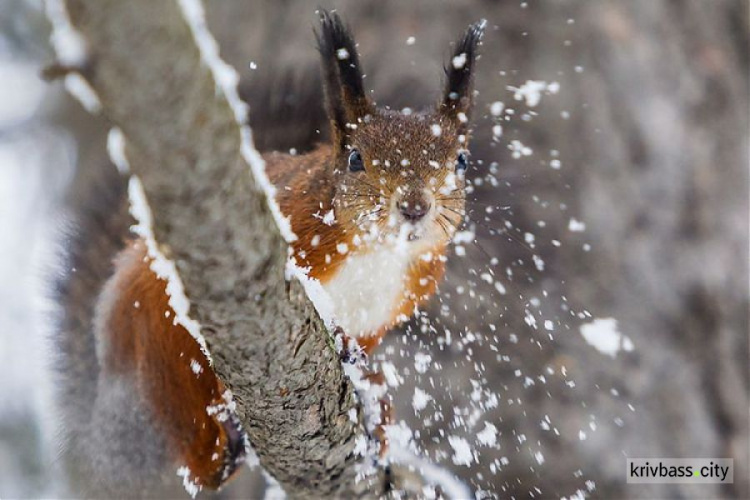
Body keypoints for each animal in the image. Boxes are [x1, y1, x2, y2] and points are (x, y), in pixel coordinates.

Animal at [55, 9, 484, 494]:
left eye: (461, 161)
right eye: (355, 159)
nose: (414, 207)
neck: (378, 252)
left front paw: (368, 381)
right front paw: (340, 340)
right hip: (154, 343)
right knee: (196, 452)